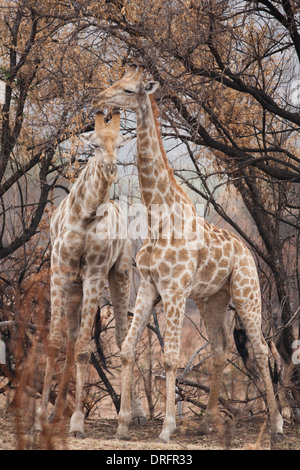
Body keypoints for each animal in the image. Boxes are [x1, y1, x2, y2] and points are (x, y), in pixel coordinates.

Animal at [33, 108, 146, 438]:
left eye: (119, 145)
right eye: (93, 144)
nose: (110, 169)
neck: (84, 214)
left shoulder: (95, 272)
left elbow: (85, 350)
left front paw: (77, 423)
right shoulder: (60, 270)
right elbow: (56, 343)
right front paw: (41, 419)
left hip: (120, 274)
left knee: (121, 337)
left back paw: (133, 416)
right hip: (75, 287)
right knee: (71, 341)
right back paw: (58, 412)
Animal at [92, 65, 286, 444]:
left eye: (127, 89)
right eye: (116, 82)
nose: (98, 98)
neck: (159, 217)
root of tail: (246, 251)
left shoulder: (175, 289)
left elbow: (169, 358)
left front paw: (167, 428)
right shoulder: (150, 286)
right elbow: (127, 349)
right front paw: (123, 424)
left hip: (247, 291)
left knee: (259, 348)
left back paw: (277, 424)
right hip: (213, 299)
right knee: (219, 349)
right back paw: (206, 421)